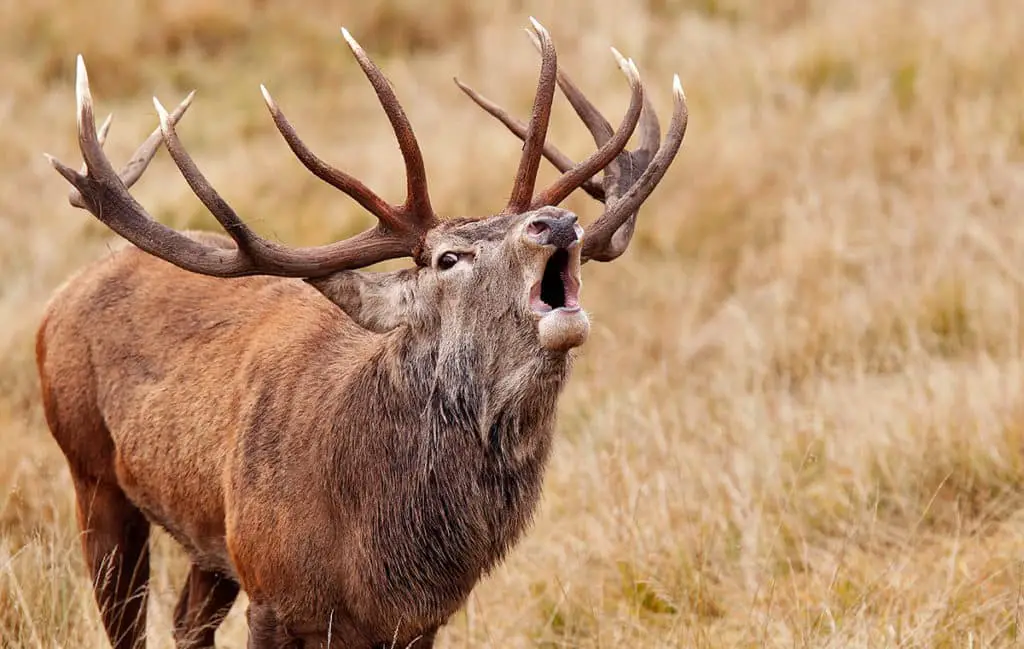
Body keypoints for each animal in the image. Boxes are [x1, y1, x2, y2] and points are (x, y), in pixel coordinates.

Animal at [36, 18, 688, 646]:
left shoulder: (419, 621)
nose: (556, 222)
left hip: (206, 539)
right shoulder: (271, 591)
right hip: (91, 471)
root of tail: (61, 298)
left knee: (186, 622)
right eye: (448, 258)